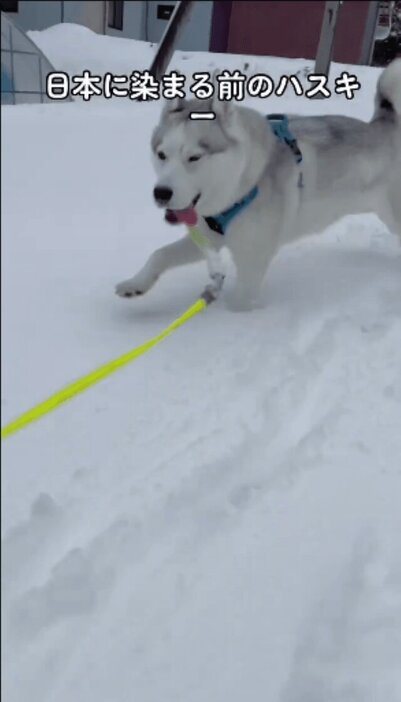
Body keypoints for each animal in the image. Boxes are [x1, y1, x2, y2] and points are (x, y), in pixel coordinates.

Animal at [115, 61, 400, 310]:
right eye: (162, 155)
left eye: (194, 157)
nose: (161, 193)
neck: (242, 185)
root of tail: (387, 125)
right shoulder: (210, 238)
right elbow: (159, 254)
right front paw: (135, 284)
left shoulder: (252, 258)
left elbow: (241, 301)